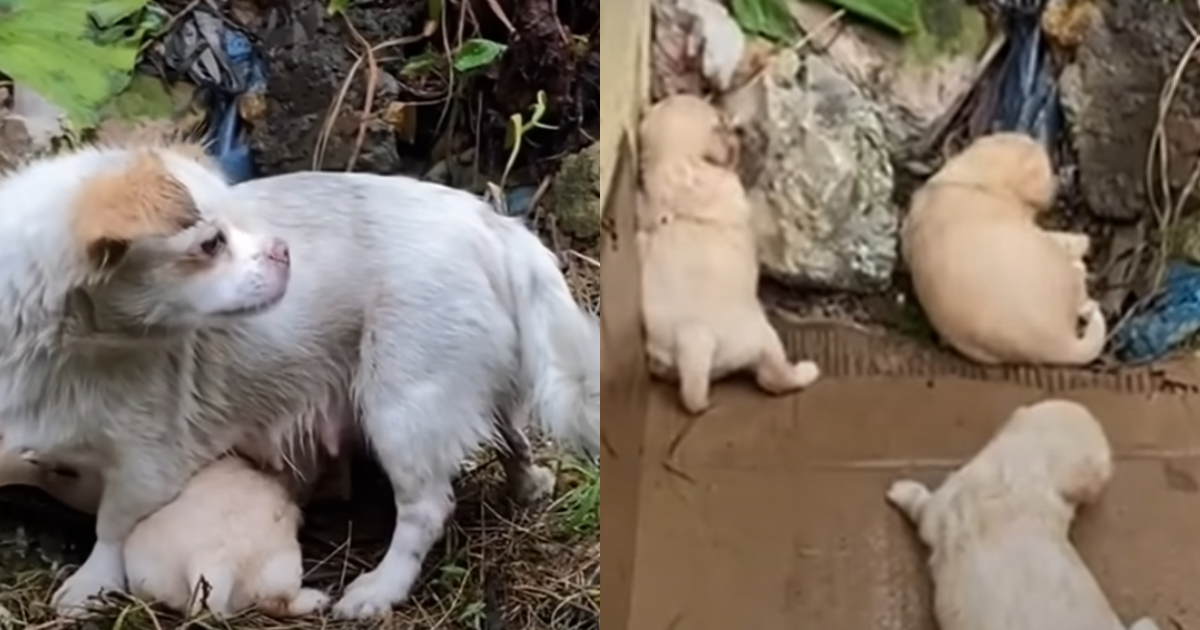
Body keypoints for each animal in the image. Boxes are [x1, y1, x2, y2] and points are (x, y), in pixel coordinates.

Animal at [0, 138, 600, 619]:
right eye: (211, 243)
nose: (283, 249)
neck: (71, 344)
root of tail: (491, 223)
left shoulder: (147, 459)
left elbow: (112, 525)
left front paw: (89, 586)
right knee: (513, 438)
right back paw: (529, 486)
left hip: (404, 404)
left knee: (426, 509)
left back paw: (378, 590)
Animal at [633, 94, 820, 412]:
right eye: (718, 120)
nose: (736, 130)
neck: (681, 168)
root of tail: (695, 335)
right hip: (764, 340)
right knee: (774, 379)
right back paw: (806, 372)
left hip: (663, 356)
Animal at [902, 132, 1104, 362]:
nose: (1058, 187)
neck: (980, 181)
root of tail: (1060, 346)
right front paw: (1080, 241)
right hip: (1054, 263)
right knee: (1079, 280)